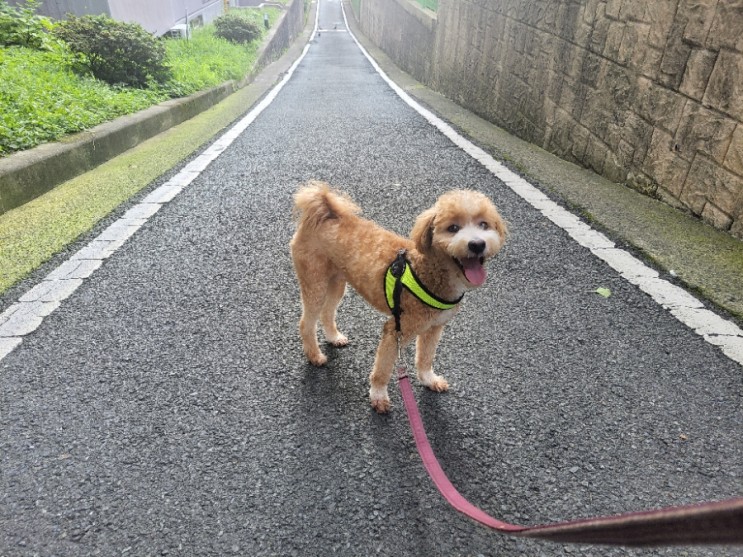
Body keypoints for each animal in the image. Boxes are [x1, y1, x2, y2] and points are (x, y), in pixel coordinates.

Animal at [288, 180, 508, 410]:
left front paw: (429, 380)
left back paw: (334, 337)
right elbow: (383, 368)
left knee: (328, 312)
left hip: (336, 281)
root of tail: (325, 212)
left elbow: (426, 357)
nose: (477, 244)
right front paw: (378, 396)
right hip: (315, 281)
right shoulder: (396, 329)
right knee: (306, 323)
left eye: (484, 224)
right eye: (453, 228)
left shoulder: (434, 327)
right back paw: (315, 356)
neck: (429, 269)